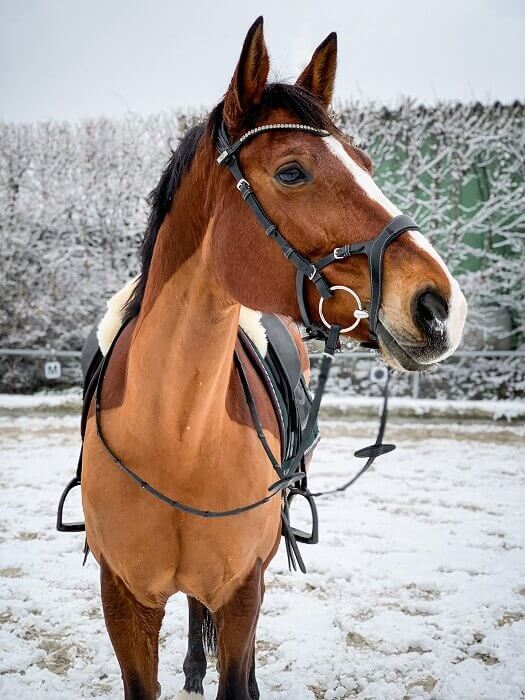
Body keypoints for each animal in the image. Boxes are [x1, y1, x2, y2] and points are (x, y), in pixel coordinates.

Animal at [82, 16, 466, 700]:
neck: (175, 438)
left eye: (365, 164)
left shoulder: (242, 593)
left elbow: (238, 662)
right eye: (291, 172)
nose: (438, 305)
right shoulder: (124, 603)